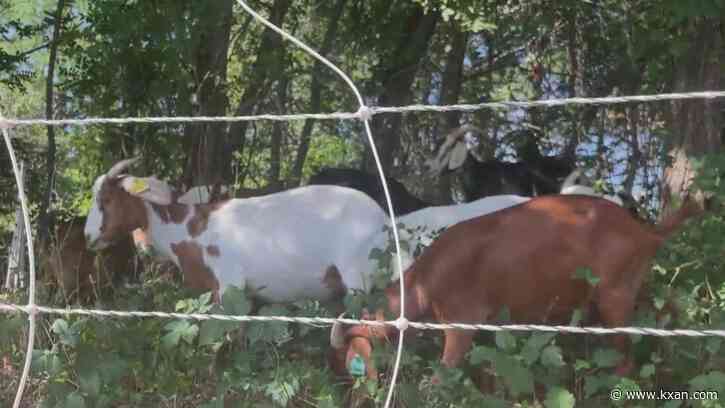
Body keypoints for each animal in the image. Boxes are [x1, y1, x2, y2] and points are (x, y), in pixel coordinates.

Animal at [84, 158, 398, 304]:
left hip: (359, 277)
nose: (88, 237)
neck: (189, 230)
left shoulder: (229, 285)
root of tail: (384, 219)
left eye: (106, 199)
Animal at [329, 194, 704, 381]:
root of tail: (646, 231)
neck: (425, 281)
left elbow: (443, 373)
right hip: (634, 285)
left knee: (625, 354)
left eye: (354, 363)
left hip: (614, 294)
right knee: (667, 308)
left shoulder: (463, 318)